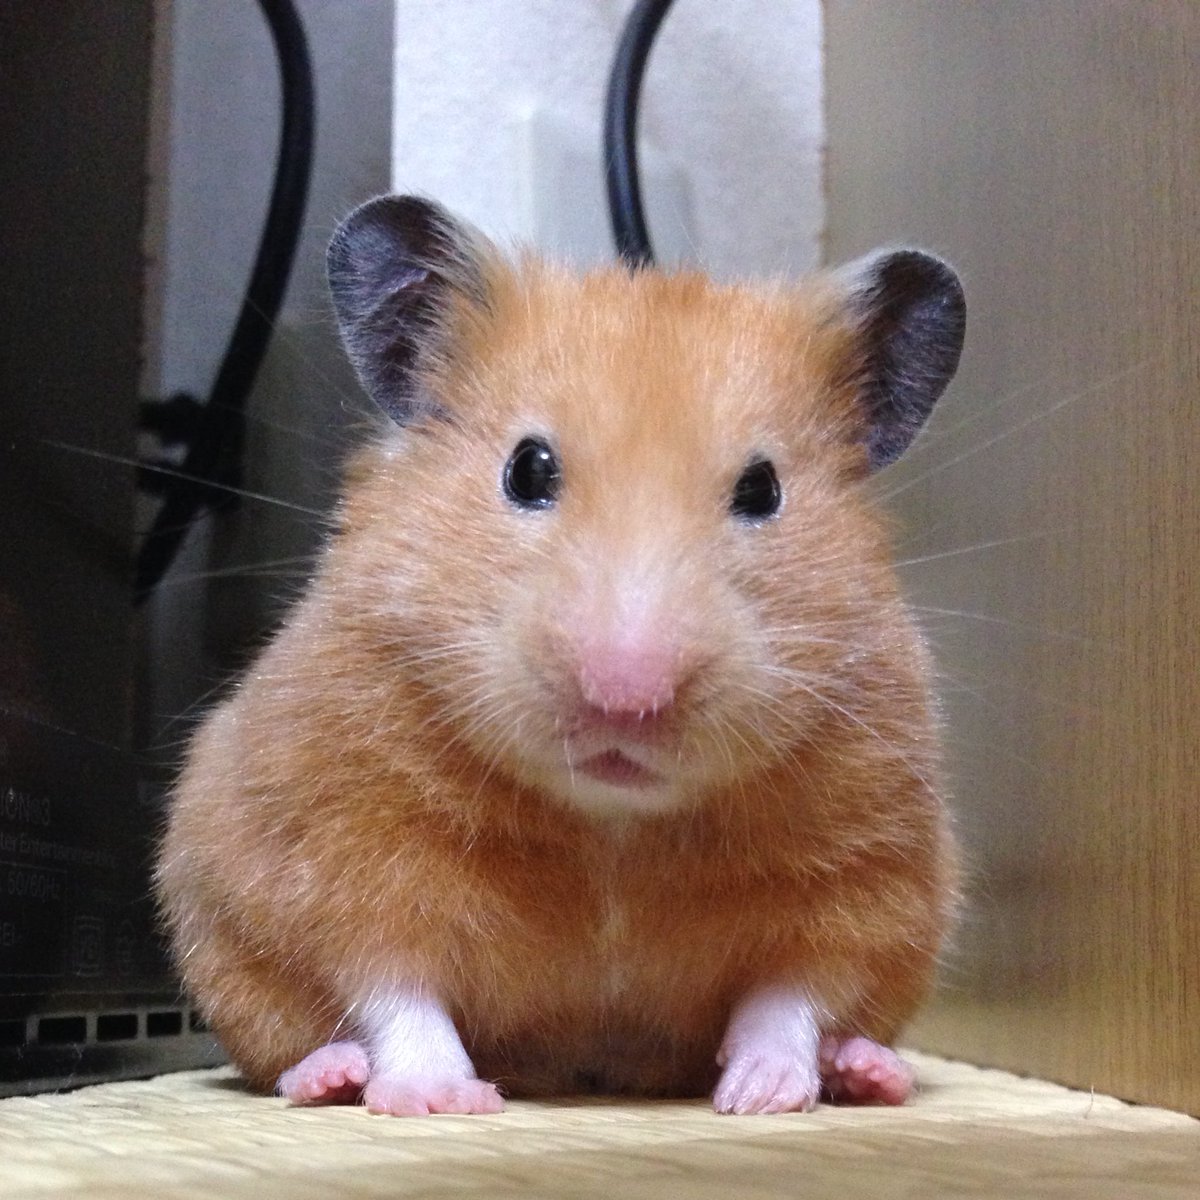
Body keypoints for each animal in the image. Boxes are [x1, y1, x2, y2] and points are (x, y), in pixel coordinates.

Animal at [155, 195, 965, 1117]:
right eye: (527, 468)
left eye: (763, 490)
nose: (625, 696)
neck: (612, 820)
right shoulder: (342, 853)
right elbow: (395, 989)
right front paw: (444, 1100)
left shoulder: (864, 880)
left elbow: (788, 995)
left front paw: (758, 1097)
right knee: (291, 1049)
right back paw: (332, 1076)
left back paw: (866, 1071)